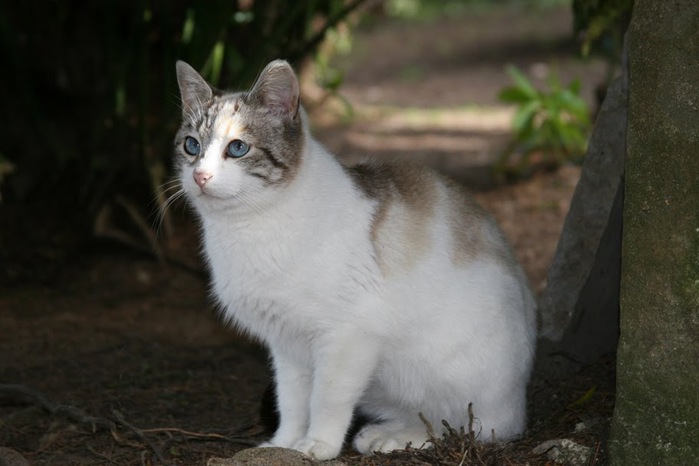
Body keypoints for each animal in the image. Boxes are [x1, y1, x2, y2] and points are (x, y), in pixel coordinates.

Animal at [174, 60, 536, 460]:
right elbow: (292, 402)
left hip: (444, 379)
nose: (200, 176)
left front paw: (317, 445)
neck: (247, 229)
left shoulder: (346, 338)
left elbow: (326, 399)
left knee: (469, 426)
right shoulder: (286, 345)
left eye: (237, 148)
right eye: (191, 146)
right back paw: (383, 433)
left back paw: (398, 439)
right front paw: (284, 445)